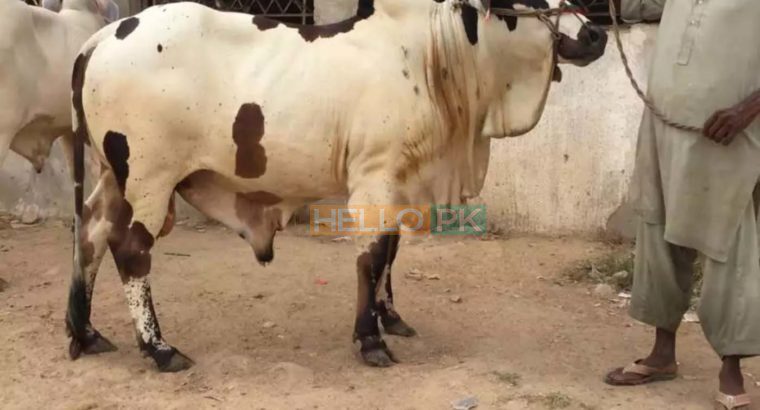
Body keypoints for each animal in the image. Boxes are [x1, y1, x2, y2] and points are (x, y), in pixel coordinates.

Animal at [65, 0, 607, 372]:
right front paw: (370, 340)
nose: (596, 33)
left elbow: (390, 251)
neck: (432, 54)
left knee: (90, 233)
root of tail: (101, 38)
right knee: (130, 250)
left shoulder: (400, 181)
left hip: (114, 177)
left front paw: (390, 318)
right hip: (148, 178)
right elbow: (371, 256)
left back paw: (84, 331)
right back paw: (159, 348)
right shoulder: (375, 174)